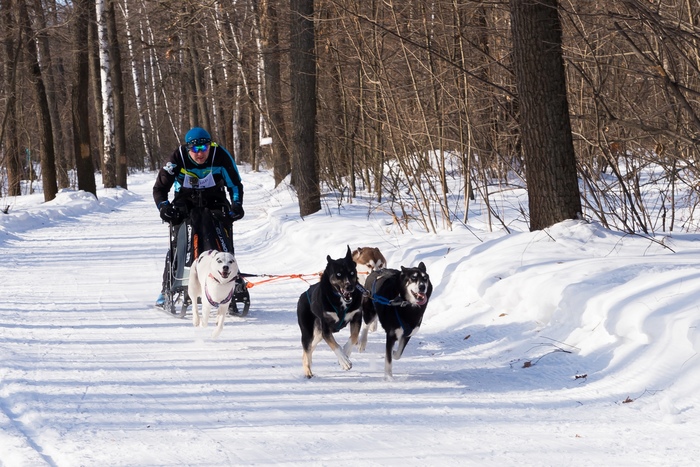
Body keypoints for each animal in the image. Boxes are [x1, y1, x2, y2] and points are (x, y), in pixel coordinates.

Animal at [294, 247, 360, 378]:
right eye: (338, 274)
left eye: (352, 273)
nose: (349, 287)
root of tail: (303, 295)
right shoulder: (326, 329)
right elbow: (335, 345)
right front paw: (344, 361)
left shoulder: (356, 317)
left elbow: (354, 336)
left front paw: (346, 352)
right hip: (308, 333)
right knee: (307, 349)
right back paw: (308, 371)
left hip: (318, 334)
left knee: (308, 350)